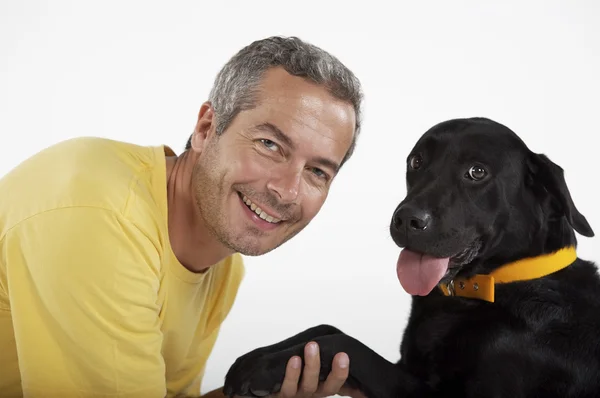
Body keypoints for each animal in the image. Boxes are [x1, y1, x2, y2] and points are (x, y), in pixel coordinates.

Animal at [223, 117, 596, 398]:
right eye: (416, 162)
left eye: (477, 172)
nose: (405, 220)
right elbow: (328, 328)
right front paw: (256, 356)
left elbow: (346, 343)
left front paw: (262, 368)